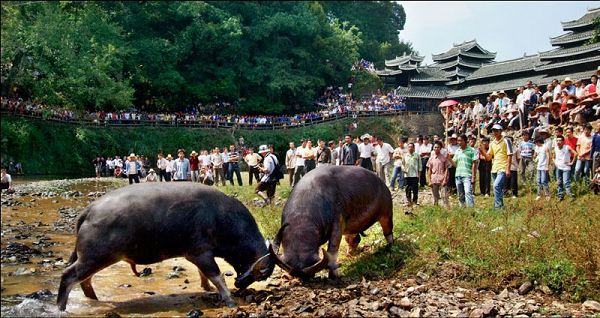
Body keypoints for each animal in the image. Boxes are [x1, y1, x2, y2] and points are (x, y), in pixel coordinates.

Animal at [57, 183, 274, 310]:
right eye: (261, 274)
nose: (239, 285)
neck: (220, 217)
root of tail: (90, 209)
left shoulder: (199, 254)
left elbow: (204, 274)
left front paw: (206, 288)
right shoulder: (201, 253)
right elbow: (217, 275)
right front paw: (229, 300)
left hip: (93, 258)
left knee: (85, 280)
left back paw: (94, 300)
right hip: (95, 257)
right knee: (69, 276)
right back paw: (61, 307)